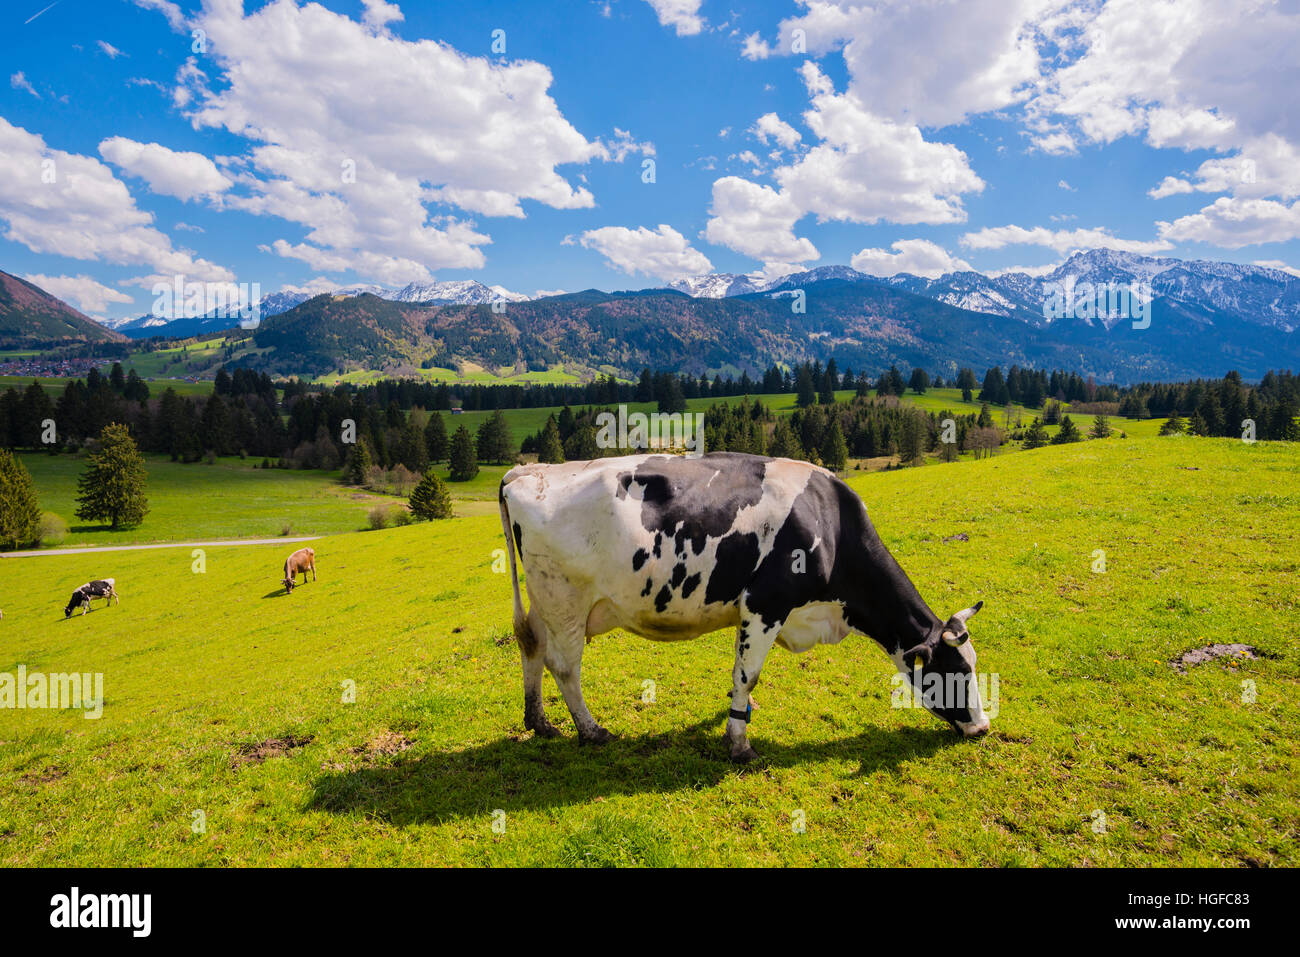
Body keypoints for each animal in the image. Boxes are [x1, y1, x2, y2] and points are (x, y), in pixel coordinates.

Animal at [498, 452, 990, 761]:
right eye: (955, 671)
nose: (983, 727)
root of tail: (526, 471)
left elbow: (742, 675)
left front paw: (740, 715)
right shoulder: (766, 604)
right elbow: (747, 674)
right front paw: (739, 744)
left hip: (544, 601)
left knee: (531, 646)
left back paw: (539, 721)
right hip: (566, 600)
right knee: (565, 666)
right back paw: (591, 730)